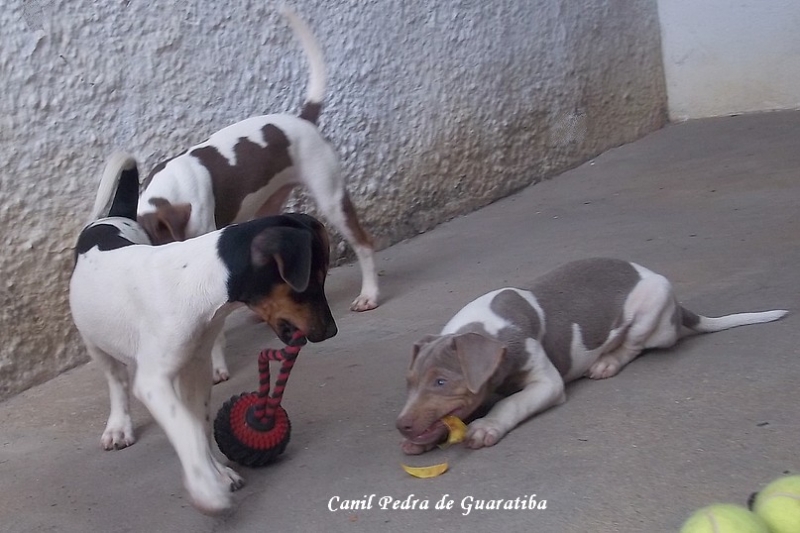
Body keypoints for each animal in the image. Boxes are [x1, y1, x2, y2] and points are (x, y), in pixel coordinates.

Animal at [70, 151, 340, 512]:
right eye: (310, 282)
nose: (332, 330)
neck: (197, 279)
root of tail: (111, 219)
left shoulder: (196, 367)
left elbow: (198, 424)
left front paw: (218, 472)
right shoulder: (154, 381)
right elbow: (185, 428)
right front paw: (206, 486)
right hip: (95, 342)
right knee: (116, 383)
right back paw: (118, 427)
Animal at [132, 8, 378, 382]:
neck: (168, 192)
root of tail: (302, 120)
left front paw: (217, 365)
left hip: (331, 195)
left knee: (363, 242)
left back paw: (370, 294)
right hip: (269, 206)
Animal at [396, 258, 784, 454]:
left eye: (441, 381)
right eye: (409, 383)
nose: (401, 425)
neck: (485, 327)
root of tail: (678, 308)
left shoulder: (547, 383)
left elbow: (512, 402)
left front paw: (487, 427)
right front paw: (420, 441)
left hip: (652, 308)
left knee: (635, 345)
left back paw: (607, 362)